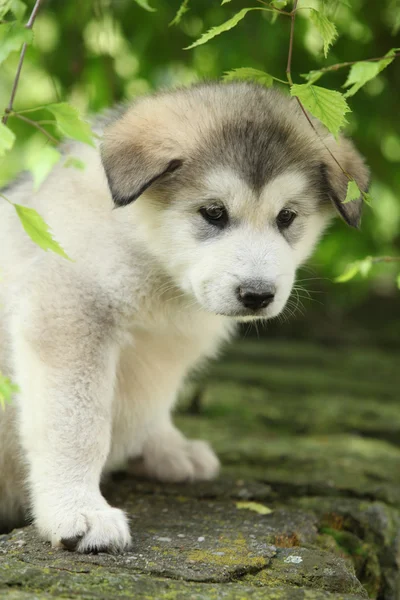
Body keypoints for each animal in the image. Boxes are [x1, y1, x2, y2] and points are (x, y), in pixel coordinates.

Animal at [0, 82, 368, 552]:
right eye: (213, 212)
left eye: (287, 216)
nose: (257, 295)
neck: (146, 251)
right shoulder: (69, 312)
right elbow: (78, 427)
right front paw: (77, 508)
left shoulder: (166, 348)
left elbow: (152, 406)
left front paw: (163, 449)